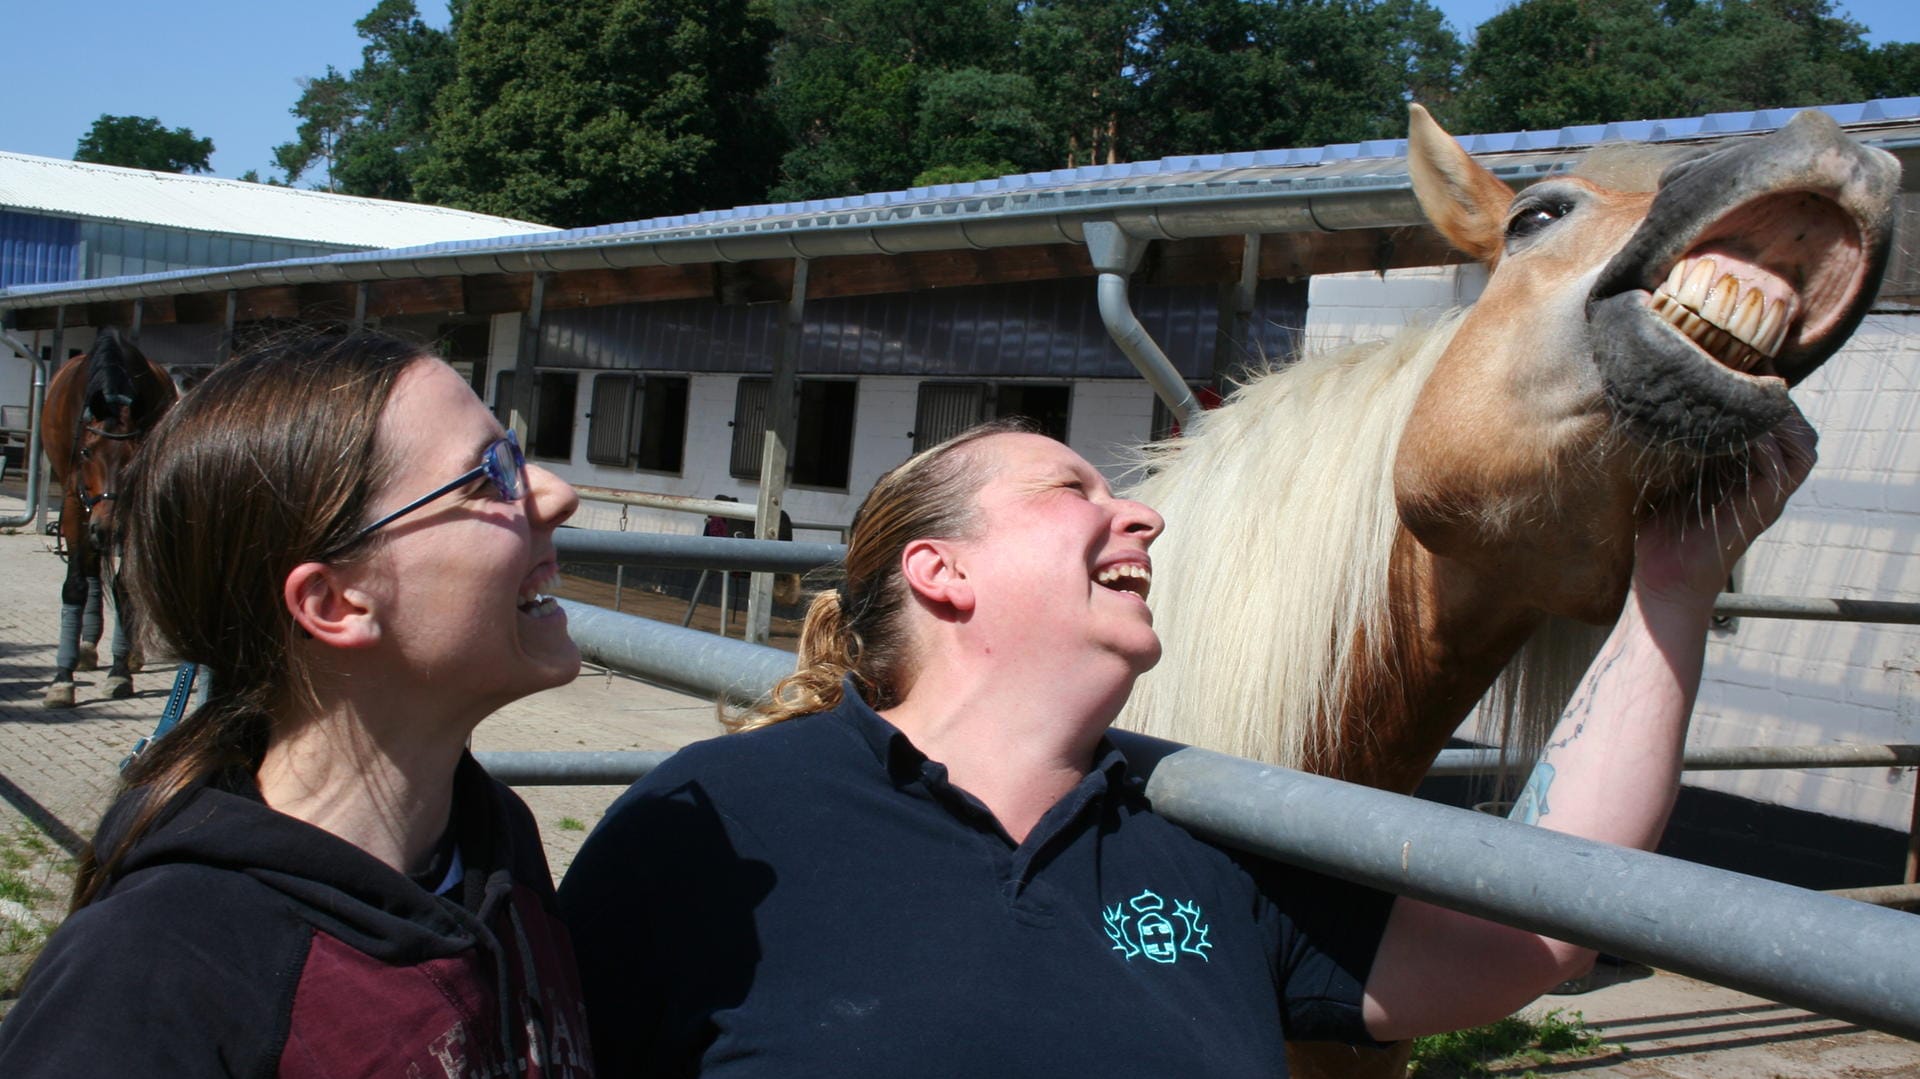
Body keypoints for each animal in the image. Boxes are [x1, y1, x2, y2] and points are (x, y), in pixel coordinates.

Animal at [40, 332, 180, 710]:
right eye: (87, 452)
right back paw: (86, 649)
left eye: (136, 455)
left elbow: (126, 587)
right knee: (89, 570)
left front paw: (119, 672)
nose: (107, 529)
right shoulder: (75, 503)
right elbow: (75, 585)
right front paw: (62, 679)